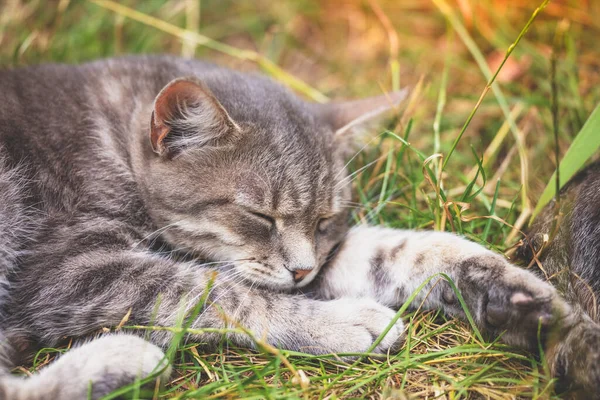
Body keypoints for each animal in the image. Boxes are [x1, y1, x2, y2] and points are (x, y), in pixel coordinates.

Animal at [0, 54, 596, 398]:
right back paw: (121, 360)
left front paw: (523, 299)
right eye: (260, 215)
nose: (303, 272)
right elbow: (216, 292)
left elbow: (407, 251)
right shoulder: (69, 266)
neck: (108, 135)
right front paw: (343, 322)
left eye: (326, 218)